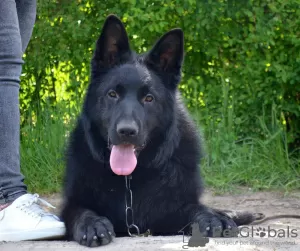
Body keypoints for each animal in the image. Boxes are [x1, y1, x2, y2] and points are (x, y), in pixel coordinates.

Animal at [60, 14, 255, 247]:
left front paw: (212, 217)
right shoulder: (71, 205)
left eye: (149, 98)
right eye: (112, 94)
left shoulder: (170, 213)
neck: (129, 181)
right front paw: (93, 224)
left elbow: (195, 208)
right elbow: (81, 212)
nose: (127, 131)